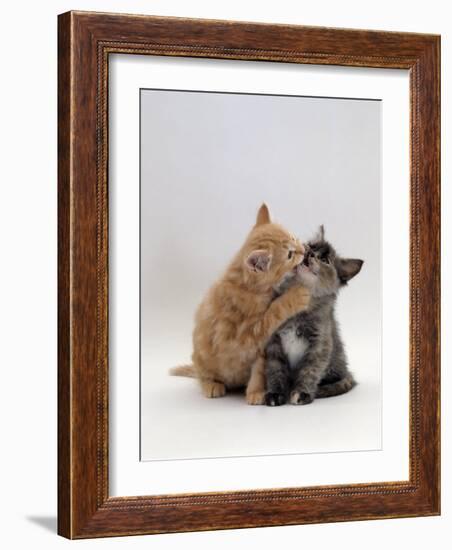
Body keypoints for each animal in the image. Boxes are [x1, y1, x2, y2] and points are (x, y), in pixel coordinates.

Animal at [170, 204, 310, 406]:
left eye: (294, 237)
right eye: (290, 255)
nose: (304, 249)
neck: (248, 287)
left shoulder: (260, 350)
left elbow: (258, 370)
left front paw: (256, 392)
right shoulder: (243, 336)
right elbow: (273, 312)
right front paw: (296, 295)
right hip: (200, 356)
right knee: (202, 374)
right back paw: (211, 384)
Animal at [264, 226, 364, 408]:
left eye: (325, 260)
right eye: (311, 246)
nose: (309, 253)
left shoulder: (319, 345)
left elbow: (310, 371)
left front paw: (302, 393)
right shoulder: (274, 343)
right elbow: (275, 370)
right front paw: (275, 393)